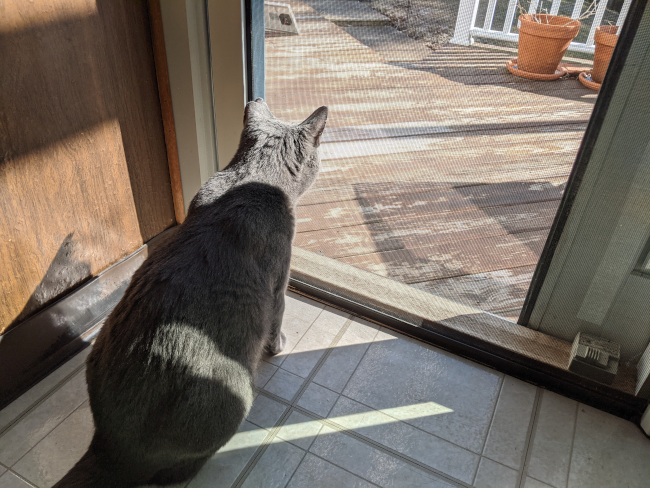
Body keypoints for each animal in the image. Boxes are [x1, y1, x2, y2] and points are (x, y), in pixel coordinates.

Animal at [54, 98, 330, 484]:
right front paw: (279, 347)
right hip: (233, 394)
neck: (253, 177)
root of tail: (109, 450)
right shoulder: (279, 282)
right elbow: (276, 319)